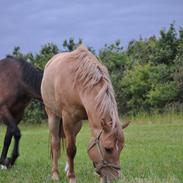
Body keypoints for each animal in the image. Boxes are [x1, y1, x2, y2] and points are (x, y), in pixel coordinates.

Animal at [40, 45, 128, 182]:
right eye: (108, 149)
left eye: (122, 147)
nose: (116, 178)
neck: (78, 83)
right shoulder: (68, 119)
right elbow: (71, 150)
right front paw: (72, 177)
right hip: (53, 116)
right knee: (56, 144)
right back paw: (55, 174)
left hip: (78, 124)